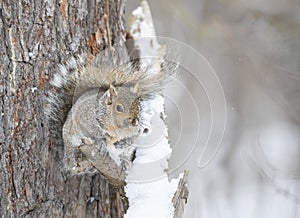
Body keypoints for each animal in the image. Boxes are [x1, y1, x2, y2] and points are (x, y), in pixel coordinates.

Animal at [46, 45, 177, 184]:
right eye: (119, 107)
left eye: (139, 106)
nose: (135, 121)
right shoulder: (83, 117)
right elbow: (95, 133)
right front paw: (102, 141)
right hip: (70, 141)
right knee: (73, 157)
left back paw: (123, 162)